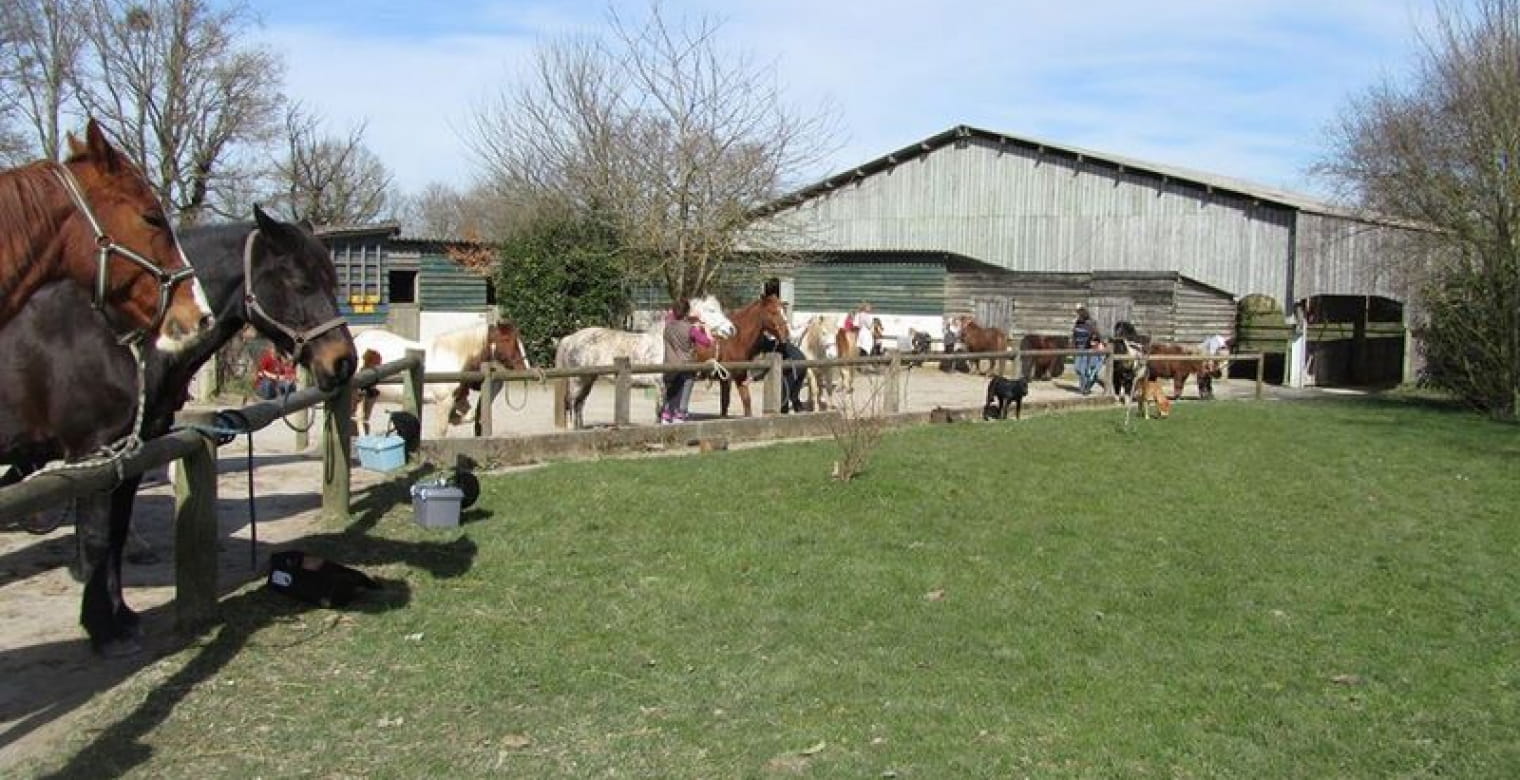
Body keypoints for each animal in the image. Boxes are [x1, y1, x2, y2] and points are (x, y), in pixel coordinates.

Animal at [0, 205, 354, 650]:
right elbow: (97, 538)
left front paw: (121, 618)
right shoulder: (95, 453)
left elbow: (116, 533)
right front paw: (100, 628)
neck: (114, 336)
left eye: (333, 280)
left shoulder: (133, 453)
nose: (344, 361)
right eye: (301, 283)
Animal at [352, 319, 532, 434]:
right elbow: (442, 430)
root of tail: (357, 341)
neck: (454, 358)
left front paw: (456, 419)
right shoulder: (443, 402)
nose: (524, 367)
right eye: (506, 339)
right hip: (360, 395)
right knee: (359, 419)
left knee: (364, 418)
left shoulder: (458, 399)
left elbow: (469, 416)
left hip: (371, 395)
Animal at [556, 293, 732, 428]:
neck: (665, 343)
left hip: (588, 379)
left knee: (579, 404)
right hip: (578, 379)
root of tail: (570, 338)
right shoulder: (660, 385)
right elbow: (660, 410)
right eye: (712, 310)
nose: (731, 329)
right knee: (572, 402)